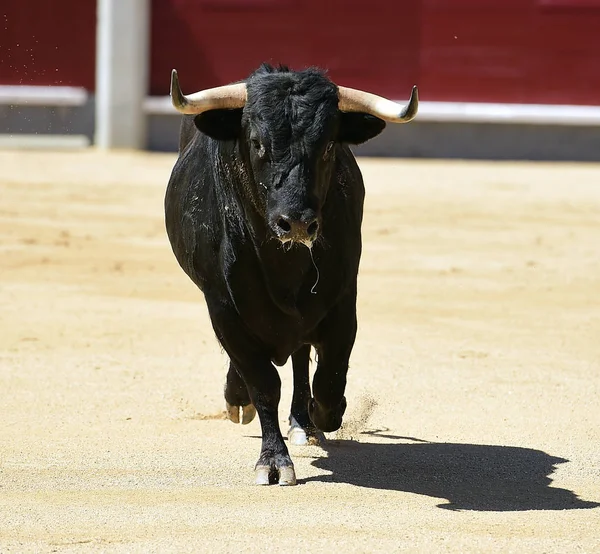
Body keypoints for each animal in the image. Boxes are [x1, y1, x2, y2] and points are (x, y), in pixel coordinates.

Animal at [164, 63, 418, 484]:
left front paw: (320, 414)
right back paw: (238, 399)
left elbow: (329, 378)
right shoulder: (221, 305)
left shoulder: (342, 300)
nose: (296, 222)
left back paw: (303, 420)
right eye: (256, 142)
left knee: (301, 359)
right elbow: (263, 382)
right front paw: (273, 460)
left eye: (329, 145)